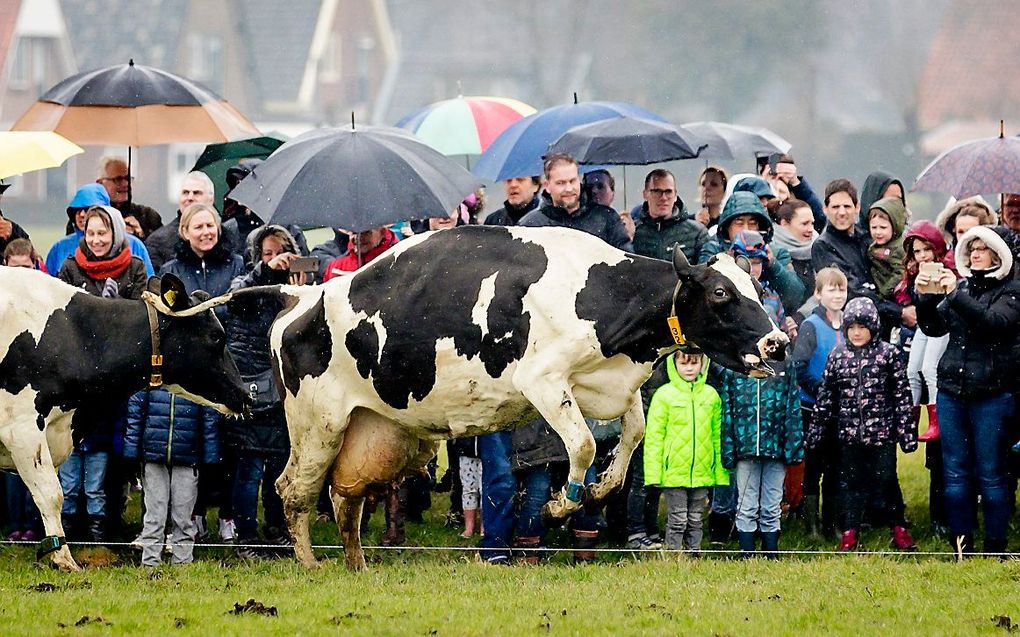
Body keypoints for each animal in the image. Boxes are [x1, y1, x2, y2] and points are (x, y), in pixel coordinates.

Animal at [238, 223, 787, 566]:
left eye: (756, 290)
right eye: (721, 293)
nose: (777, 343)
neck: (601, 291)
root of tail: (302, 295)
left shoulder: (607, 384)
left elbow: (632, 434)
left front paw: (600, 488)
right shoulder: (543, 380)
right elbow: (583, 444)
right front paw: (560, 506)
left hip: (378, 430)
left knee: (344, 494)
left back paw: (356, 563)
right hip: (317, 424)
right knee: (293, 490)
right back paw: (310, 563)